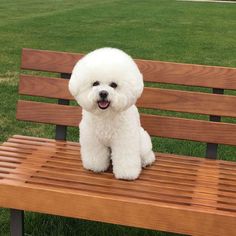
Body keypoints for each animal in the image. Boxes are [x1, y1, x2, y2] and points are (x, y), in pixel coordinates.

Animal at [68, 48, 156, 181]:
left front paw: (126, 174)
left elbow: (125, 157)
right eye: (95, 83)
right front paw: (95, 167)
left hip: (142, 140)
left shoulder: (124, 139)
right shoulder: (93, 138)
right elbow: (95, 154)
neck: (106, 115)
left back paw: (146, 161)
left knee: (146, 153)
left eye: (113, 85)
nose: (103, 93)